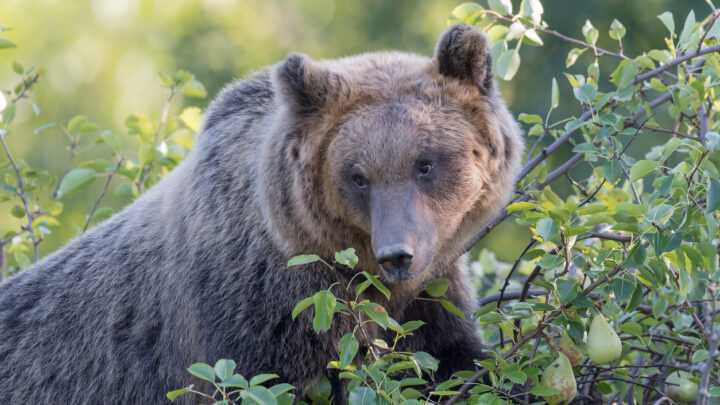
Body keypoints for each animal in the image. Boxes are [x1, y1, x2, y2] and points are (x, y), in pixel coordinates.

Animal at [0, 24, 523, 404]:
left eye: (425, 163)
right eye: (358, 176)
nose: (398, 254)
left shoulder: (432, 290)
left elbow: (453, 361)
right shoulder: (272, 300)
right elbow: (276, 379)